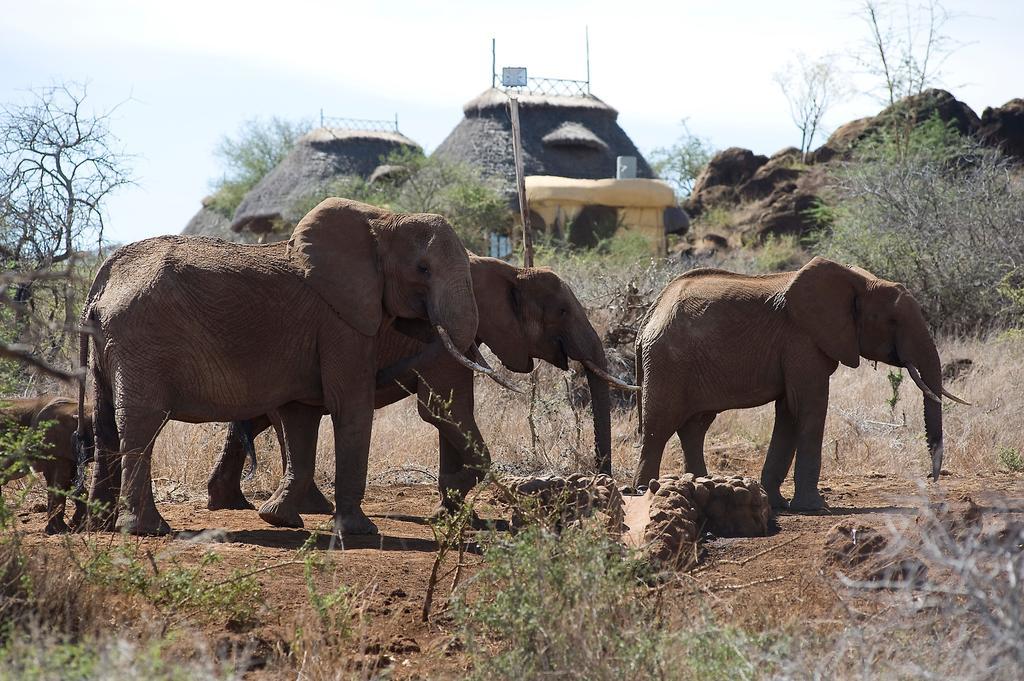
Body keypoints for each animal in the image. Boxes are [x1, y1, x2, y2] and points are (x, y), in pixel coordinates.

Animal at [75, 196, 483, 536]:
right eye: (423, 268)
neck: (383, 219)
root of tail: (101, 280)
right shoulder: (341, 322)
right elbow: (351, 406)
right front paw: (360, 533)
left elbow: (300, 417)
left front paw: (278, 519)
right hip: (141, 339)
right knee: (141, 422)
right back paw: (147, 530)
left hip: (109, 346)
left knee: (105, 421)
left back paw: (98, 526)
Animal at [207, 251, 638, 518]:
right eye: (562, 311)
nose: (602, 480)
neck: (508, 269)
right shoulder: (443, 337)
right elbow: (444, 409)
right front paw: (456, 494)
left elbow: (447, 413)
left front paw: (452, 509)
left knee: (259, 421)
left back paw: (230, 502)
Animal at [630, 256, 966, 509]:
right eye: (893, 321)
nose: (934, 480)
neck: (857, 281)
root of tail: (648, 318)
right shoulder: (802, 340)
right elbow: (809, 406)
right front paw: (815, 508)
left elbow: (789, 411)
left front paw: (777, 503)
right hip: (667, 361)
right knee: (659, 426)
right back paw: (643, 493)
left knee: (695, 426)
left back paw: (703, 486)